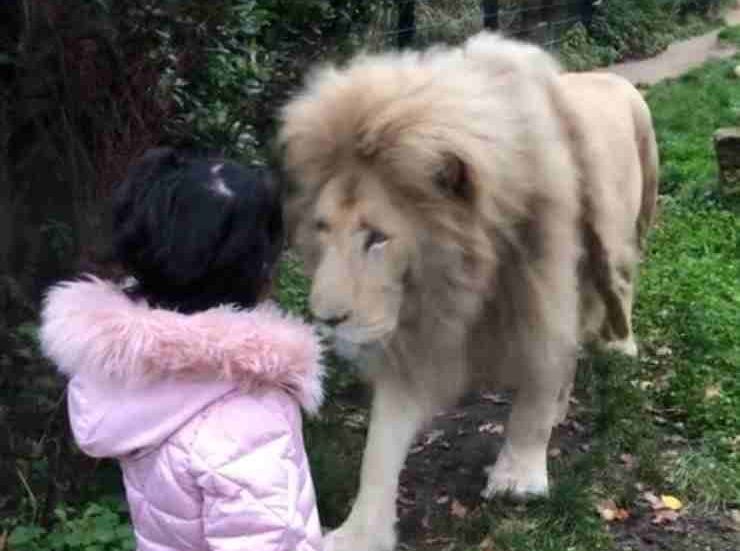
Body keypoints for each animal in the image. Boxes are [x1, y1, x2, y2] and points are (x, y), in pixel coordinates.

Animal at [278, 31, 660, 551]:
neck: (459, 278)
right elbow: (380, 445)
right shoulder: (416, 342)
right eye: (321, 228)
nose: (325, 319)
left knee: (620, 289)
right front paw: (358, 532)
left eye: (377, 237)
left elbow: (536, 388)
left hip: (635, 219)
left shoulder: (543, 294)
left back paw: (620, 347)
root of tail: (613, 79)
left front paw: (518, 477)